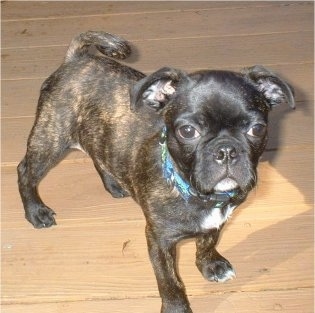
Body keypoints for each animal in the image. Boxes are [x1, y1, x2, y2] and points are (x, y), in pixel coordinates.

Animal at [18, 31, 296, 312]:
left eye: (257, 129)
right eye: (187, 131)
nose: (226, 150)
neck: (194, 191)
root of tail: (77, 59)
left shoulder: (217, 222)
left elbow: (208, 241)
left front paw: (211, 265)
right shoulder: (159, 241)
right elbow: (169, 280)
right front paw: (176, 307)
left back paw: (114, 184)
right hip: (50, 140)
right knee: (25, 171)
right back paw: (36, 212)